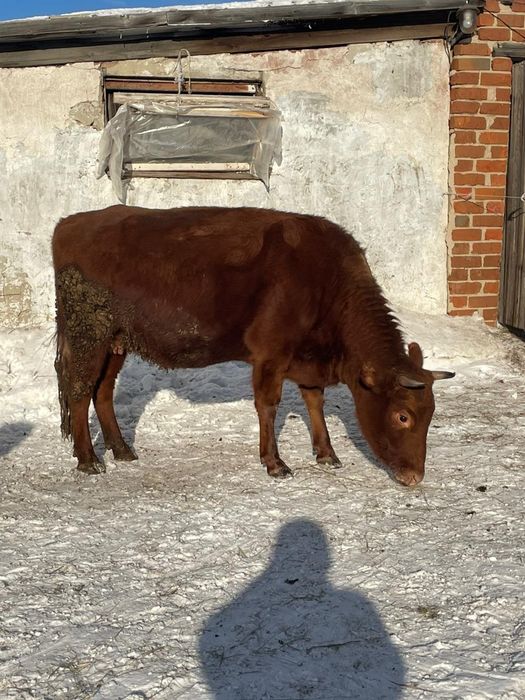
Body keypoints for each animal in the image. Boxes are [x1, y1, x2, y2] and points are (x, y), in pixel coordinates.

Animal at [52, 205, 454, 486]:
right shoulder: (271, 356)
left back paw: (122, 451)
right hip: (90, 337)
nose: (415, 476)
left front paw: (327, 454)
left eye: (431, 413)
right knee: (80, 391)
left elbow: (315, 402)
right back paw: (89, 460)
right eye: (402, 415)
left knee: (102, 392)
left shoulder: (308, 361)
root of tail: (70, 223)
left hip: (116, 344)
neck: (327, 281)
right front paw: (275, 463)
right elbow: (268, 406)